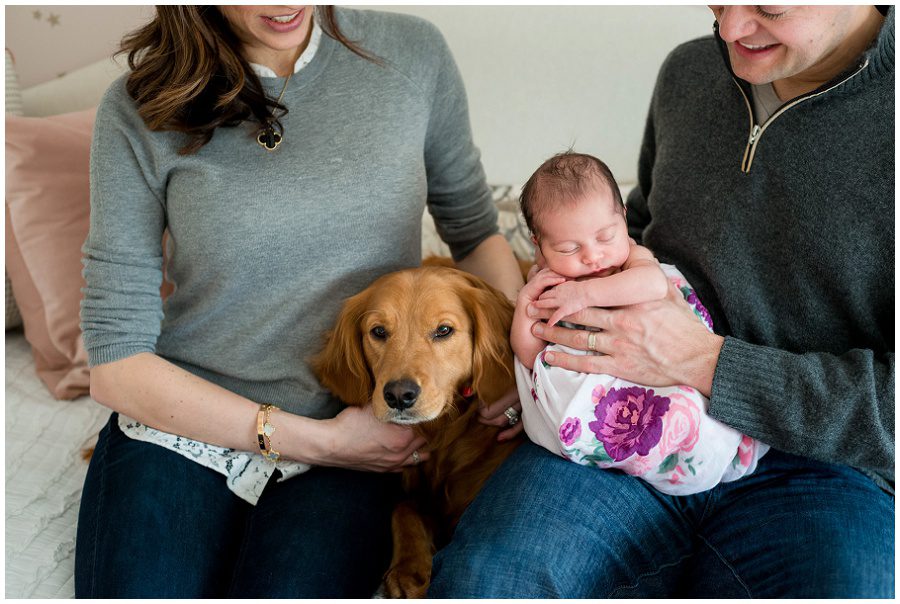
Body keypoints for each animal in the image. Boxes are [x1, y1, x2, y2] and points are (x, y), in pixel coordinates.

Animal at [312, 266, 520, 600]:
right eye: (379, 332)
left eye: (444, 330)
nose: (398, 395)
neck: (444, 436)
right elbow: (403, 507)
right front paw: (409, 568)